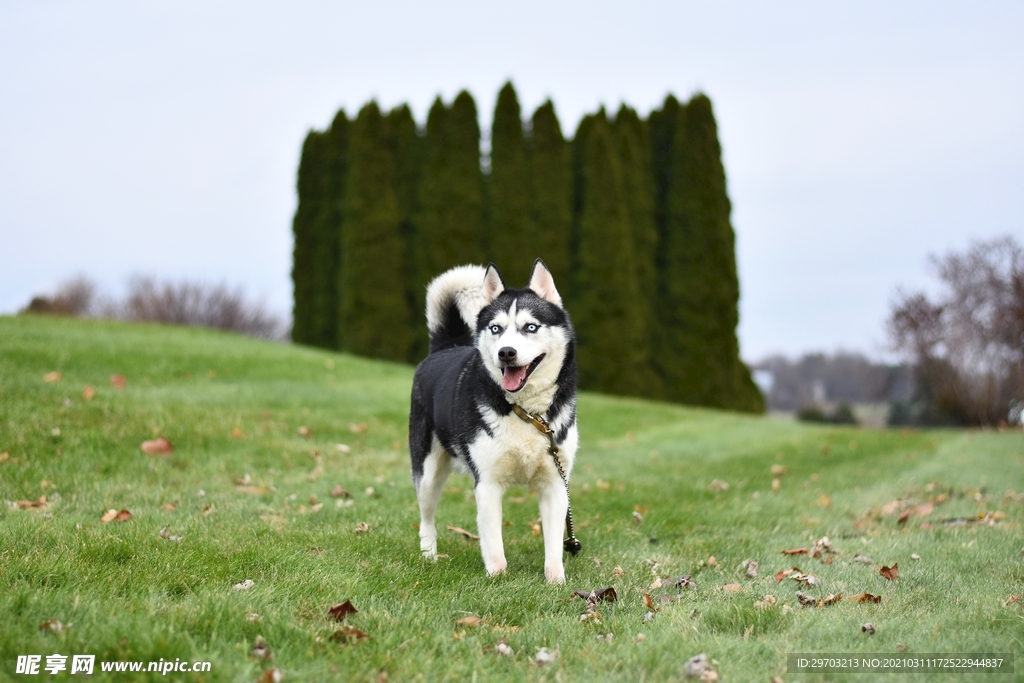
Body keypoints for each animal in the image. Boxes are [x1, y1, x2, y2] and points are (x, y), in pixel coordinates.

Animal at [411, 259, 581, 585]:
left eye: (530, 327)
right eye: (496, 329)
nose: (506, 353)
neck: (527, 413)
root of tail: (445, 347)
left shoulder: (556, 484)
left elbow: (554, 545)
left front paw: (556, 583)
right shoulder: (488, 483)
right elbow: (493, 544)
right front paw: (496, 579)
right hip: (426, 473)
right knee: (426, 517)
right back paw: (428, 556)